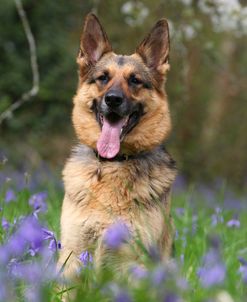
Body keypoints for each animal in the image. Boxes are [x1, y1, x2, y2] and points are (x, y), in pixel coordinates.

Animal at [58, 13, 177, 282]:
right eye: (103, 78)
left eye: (135, 80)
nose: (113, 99)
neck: (113, 164)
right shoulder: (73, 253)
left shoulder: (133, 260)